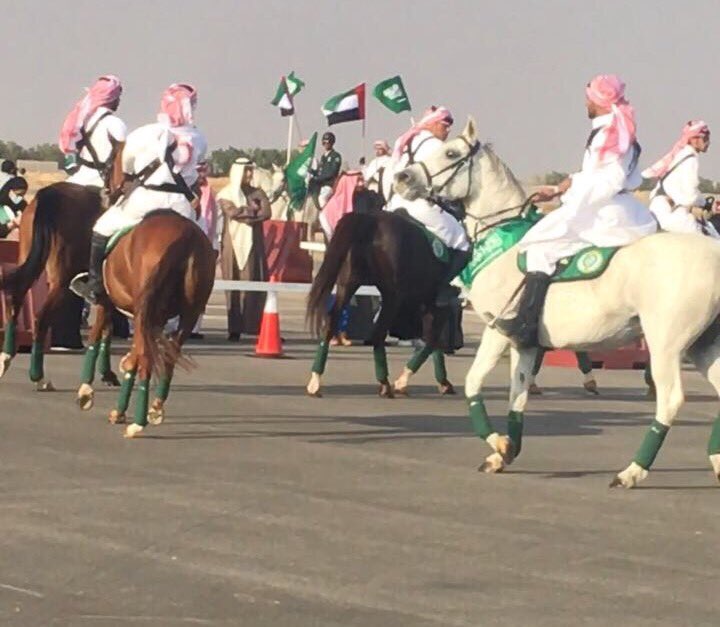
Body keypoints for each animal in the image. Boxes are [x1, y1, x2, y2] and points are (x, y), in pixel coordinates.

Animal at [0, 154, 124, 390]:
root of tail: (48, 196)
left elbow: (106, 327)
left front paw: (107, 374)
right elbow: (106, 327)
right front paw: (106, 374)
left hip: (31, 261)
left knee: (16, 299)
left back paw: (6, 358)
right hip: (62, 278)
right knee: (41, 318)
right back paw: (38, 376)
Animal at [76, 210, 216, 438]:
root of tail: (187, 235)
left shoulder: (107, 303)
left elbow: (97, 335)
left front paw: (86, 391)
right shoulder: (153, 318)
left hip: (145, 310)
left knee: (145, 359)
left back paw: (136, 422)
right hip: (188, 314)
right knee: (167, 358)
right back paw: (155, 408)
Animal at [395, 116, 720, 488]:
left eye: (451, 153)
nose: (402, 178)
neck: (502, 243)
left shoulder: (498, 329)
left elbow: (474, 383)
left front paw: (498, 444)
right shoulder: (525, 344)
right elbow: (517, 394)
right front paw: (505, 451)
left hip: (666, 343)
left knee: (670, 400)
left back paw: (631, 472)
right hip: (704, 345)